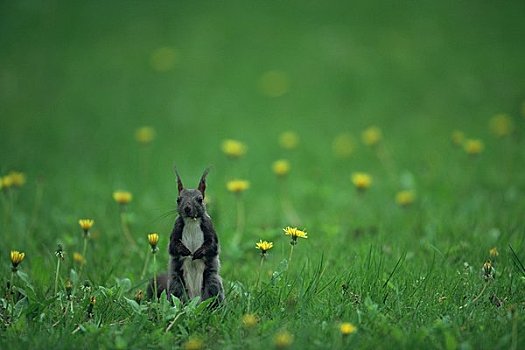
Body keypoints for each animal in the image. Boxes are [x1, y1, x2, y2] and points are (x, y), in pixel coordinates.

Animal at [151, 168, 225, 304]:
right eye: (178, 199)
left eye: (200, 199)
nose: (187, 208)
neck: (192, 221)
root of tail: (195, 300)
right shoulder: (176, 228)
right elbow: (173, 246)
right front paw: (185, 251)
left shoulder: (209, 227)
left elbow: (212, 245)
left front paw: (198, 252)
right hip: (176, 285)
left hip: (212, 282)